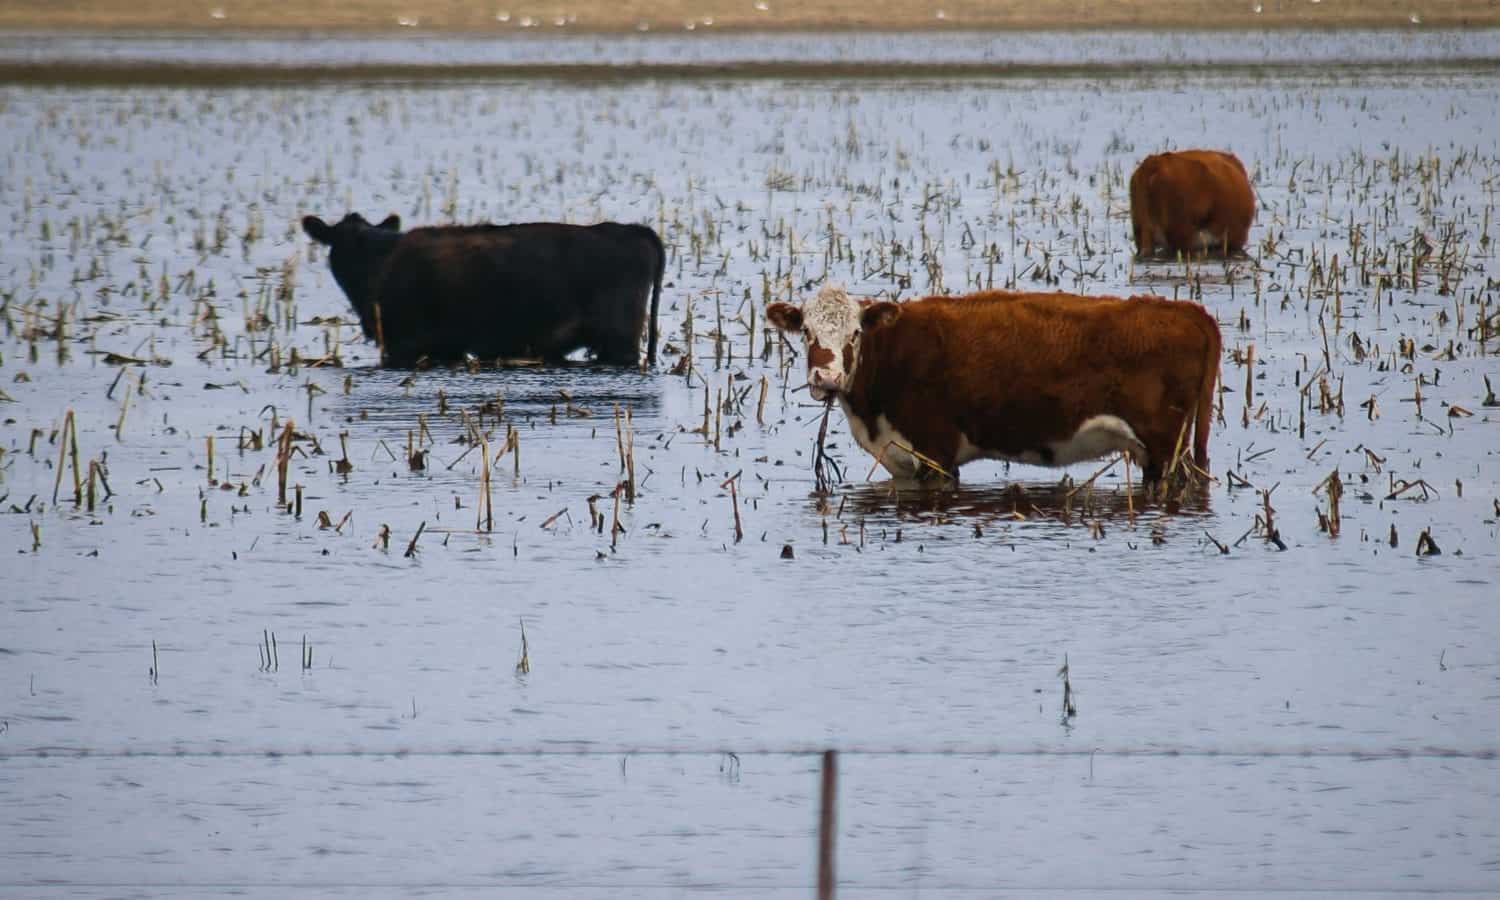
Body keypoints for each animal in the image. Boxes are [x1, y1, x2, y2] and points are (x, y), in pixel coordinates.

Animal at [768, 288, 1224, 486]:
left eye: (856, 334)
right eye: (806, 331)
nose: (827, 379)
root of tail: (1186, 310)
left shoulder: (936, 454)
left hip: (1165, 447)